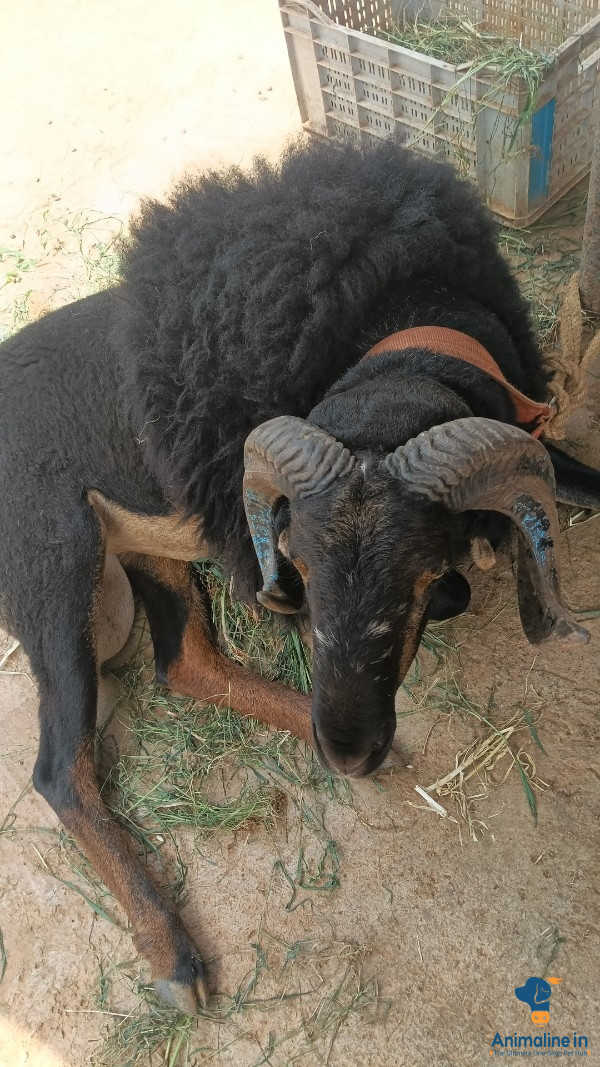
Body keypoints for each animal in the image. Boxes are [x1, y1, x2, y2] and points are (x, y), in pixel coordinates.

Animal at [1, 136, 598, 1013]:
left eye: (419, 570)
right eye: (299, 563)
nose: (349, 751)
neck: (399, 322)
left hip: (144, 552)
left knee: (187, 663)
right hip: (56, 563)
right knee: (60, 769)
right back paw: (174, 954)